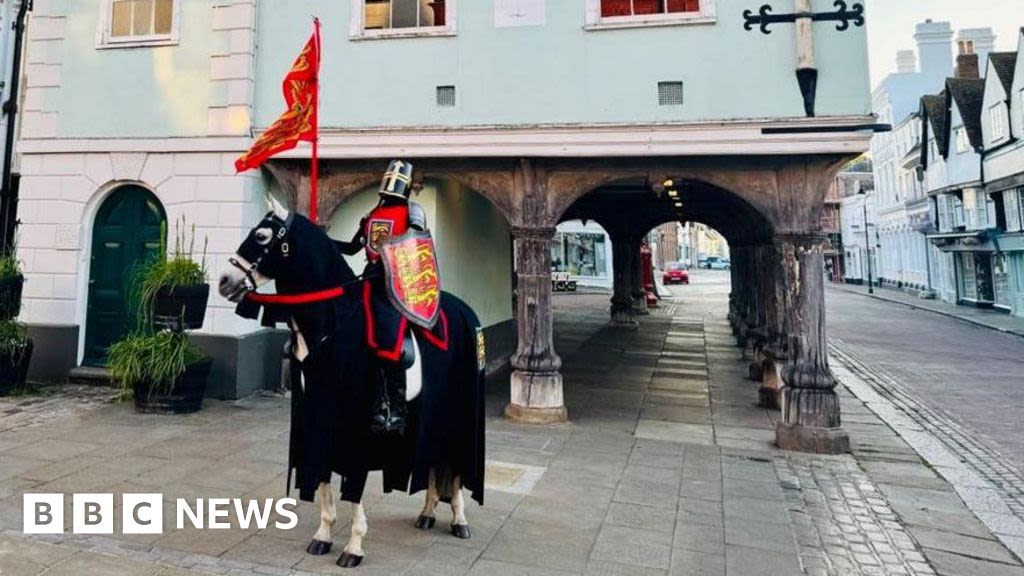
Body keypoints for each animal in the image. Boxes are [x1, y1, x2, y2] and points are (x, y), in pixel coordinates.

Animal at [217, 199, 487, 565]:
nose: (224, 281)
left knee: (455, 465)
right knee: (433, 458)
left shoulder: (354, 424)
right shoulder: (317, 414)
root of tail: (464, 312)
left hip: (462, 408)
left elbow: (353, 485)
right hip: (429, 412)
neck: (333, 322)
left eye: (261, 236)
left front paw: (354, 546)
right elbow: (323, 479)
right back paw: (428, 512)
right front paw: (322, 535)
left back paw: (459, 519)